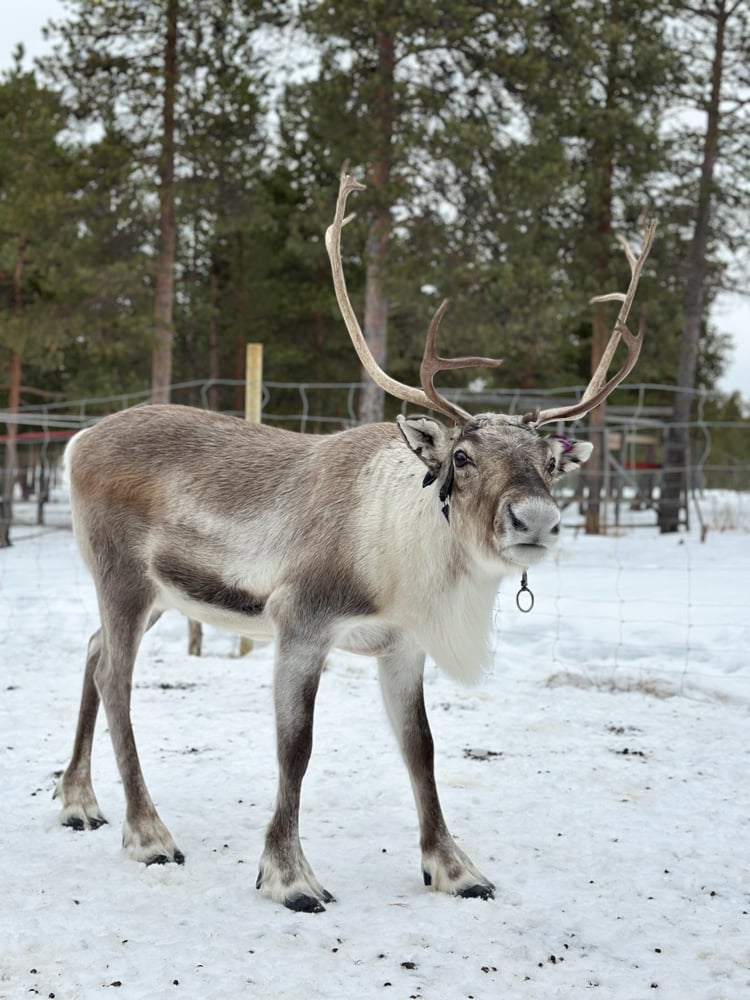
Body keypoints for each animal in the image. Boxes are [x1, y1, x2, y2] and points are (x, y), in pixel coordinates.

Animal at [55, 170, 656, 913]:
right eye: (461, 456)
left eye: (549, 460)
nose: (535, 520)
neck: (402, 564)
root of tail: (77, 440)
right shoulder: (301, 622)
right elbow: (296, 747)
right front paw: (289, 876)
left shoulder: (400, 646)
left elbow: (421, 747)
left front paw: (454, 867)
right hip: (123, 578)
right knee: (115, 675)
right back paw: (148, 833)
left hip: (161, 594)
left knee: (92, 651)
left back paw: (78, 802)